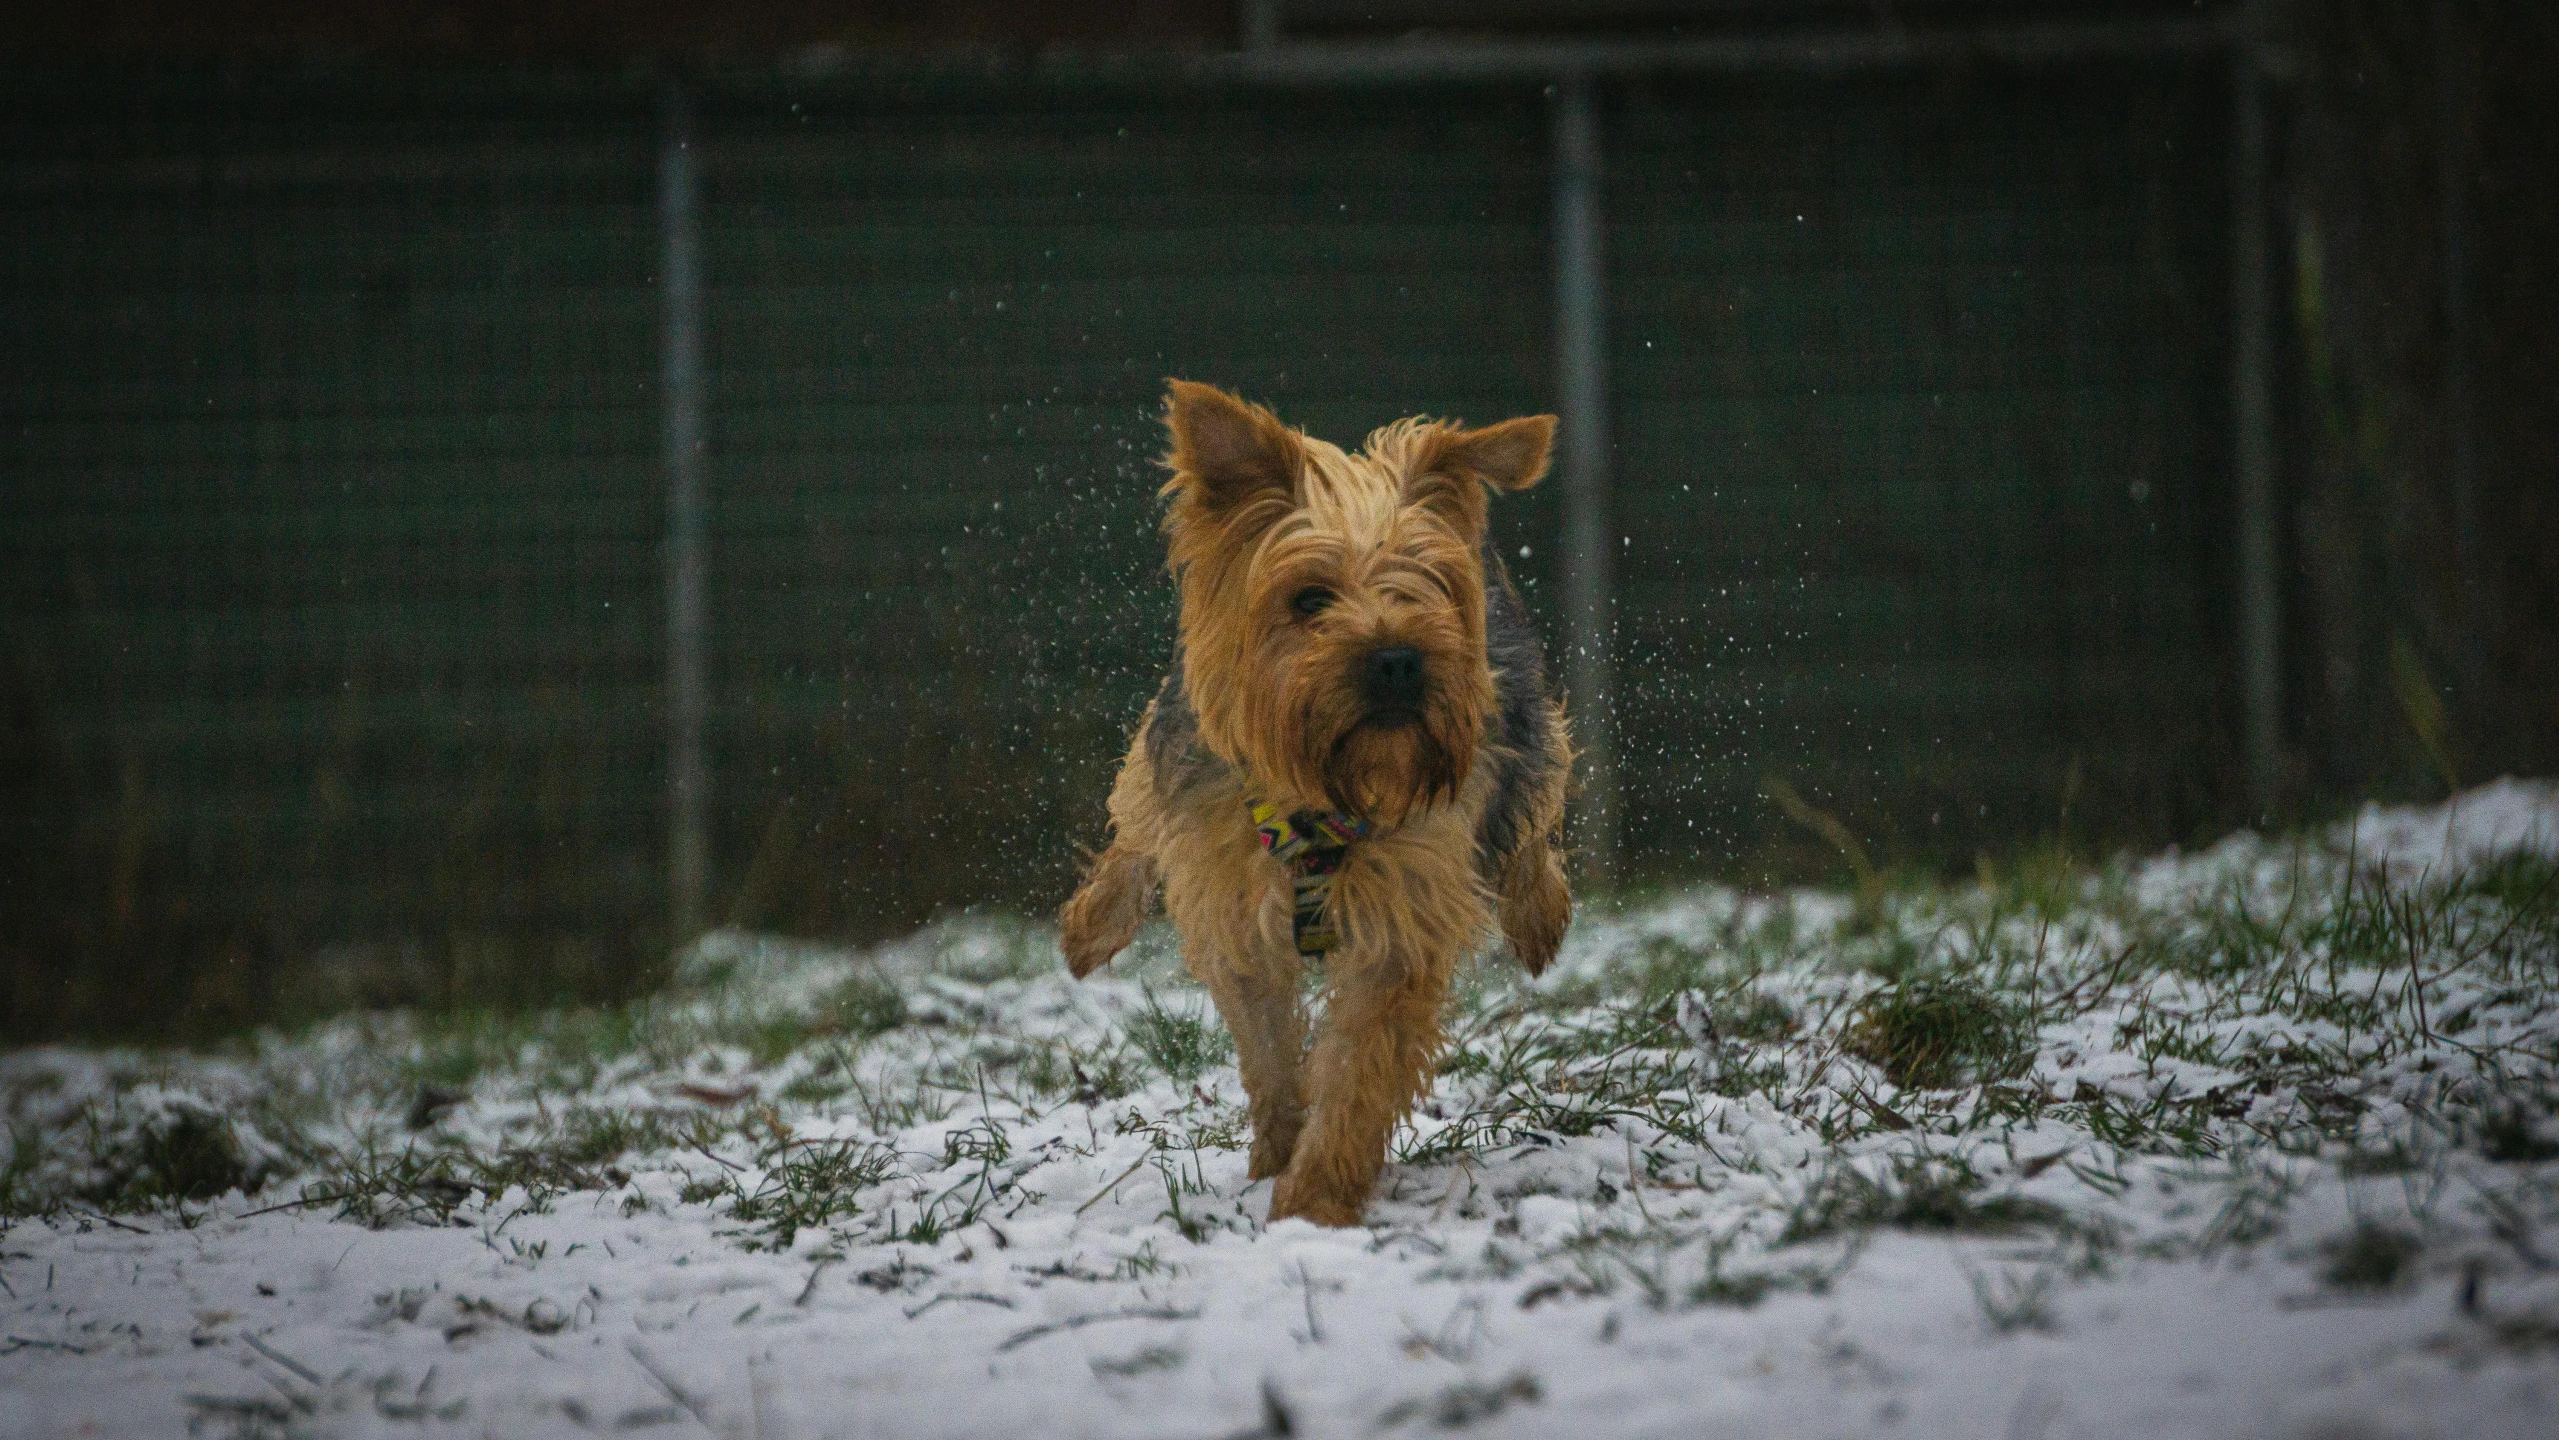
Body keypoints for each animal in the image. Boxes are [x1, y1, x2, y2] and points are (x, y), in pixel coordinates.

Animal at [1054, 381, 1566, 1227]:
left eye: (1427, 586)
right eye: (1308, 599)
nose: (1398, 658)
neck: (1320, 795)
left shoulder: (1402, 918)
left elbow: (1358, 1069)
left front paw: (1313, 1201)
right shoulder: (1231, 900)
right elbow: (1266, 1049)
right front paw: (1276, 1156)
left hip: (1519, 724)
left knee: (1532, 819)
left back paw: (1539, 920)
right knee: (1133, 829)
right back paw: (1090, 928)